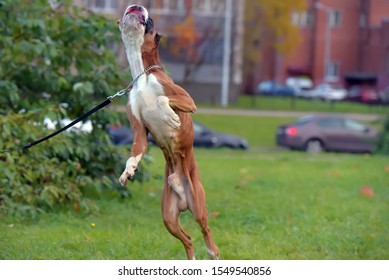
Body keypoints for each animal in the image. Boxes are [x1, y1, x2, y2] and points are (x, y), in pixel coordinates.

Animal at [116, 3, 218, 260]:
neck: (142, 75)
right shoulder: (139, 133)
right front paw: (128, 171)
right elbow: (134, 153)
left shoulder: (187, 100)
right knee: (188, 239)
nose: (137, 5)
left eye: (151, 20)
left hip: (198, 206)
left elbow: (163, 100)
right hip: (169, 218)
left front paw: (169, 117)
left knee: (205, 229)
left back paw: (212, 251)